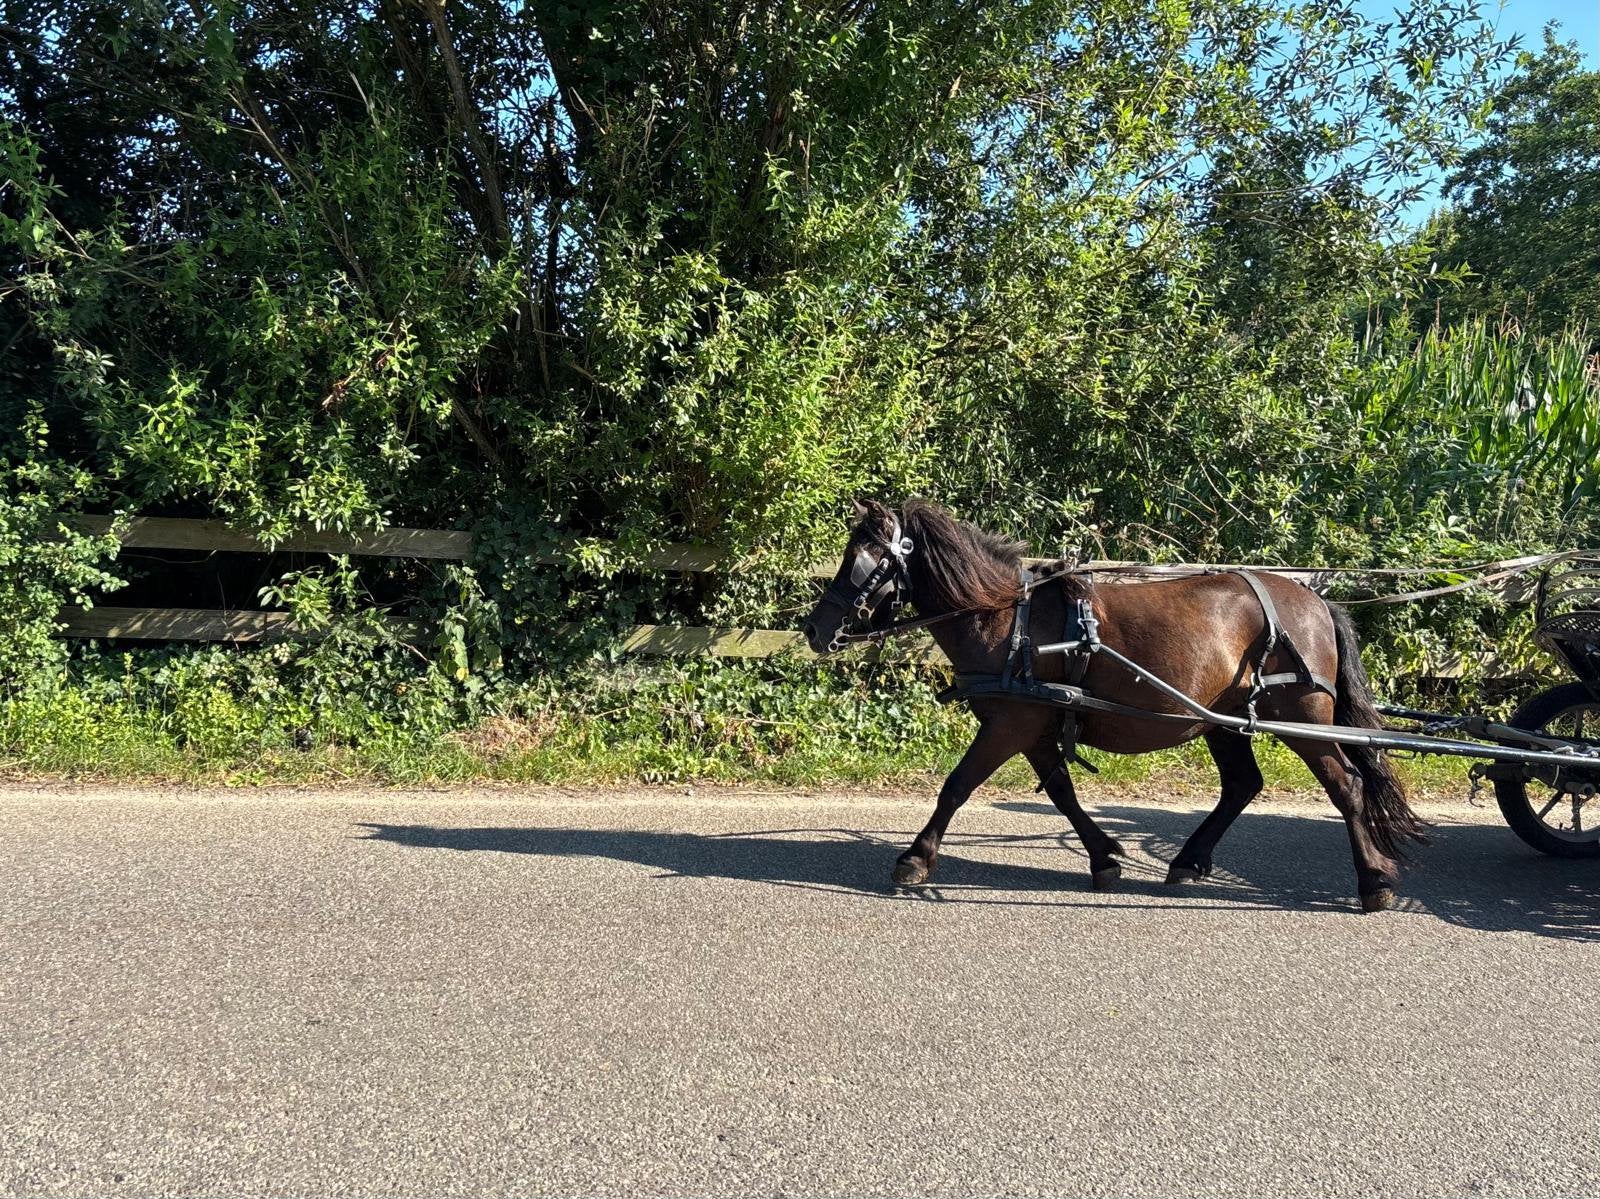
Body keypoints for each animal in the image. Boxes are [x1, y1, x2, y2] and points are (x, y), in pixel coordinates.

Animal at [801, 498, 1427, 912]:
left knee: (1347, 785)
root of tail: (1315, 601)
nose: (814, 629)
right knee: (1242, 785)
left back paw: (1374, 883)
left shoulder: (1011, 722)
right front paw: (1104, 857)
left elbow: (957, 786)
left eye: (863, 558)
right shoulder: (1033, 724)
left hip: (1299, 717)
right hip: (1222, 721)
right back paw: (1186, 862)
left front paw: (915, 858)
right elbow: (1061, 791)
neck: (1006, 619)